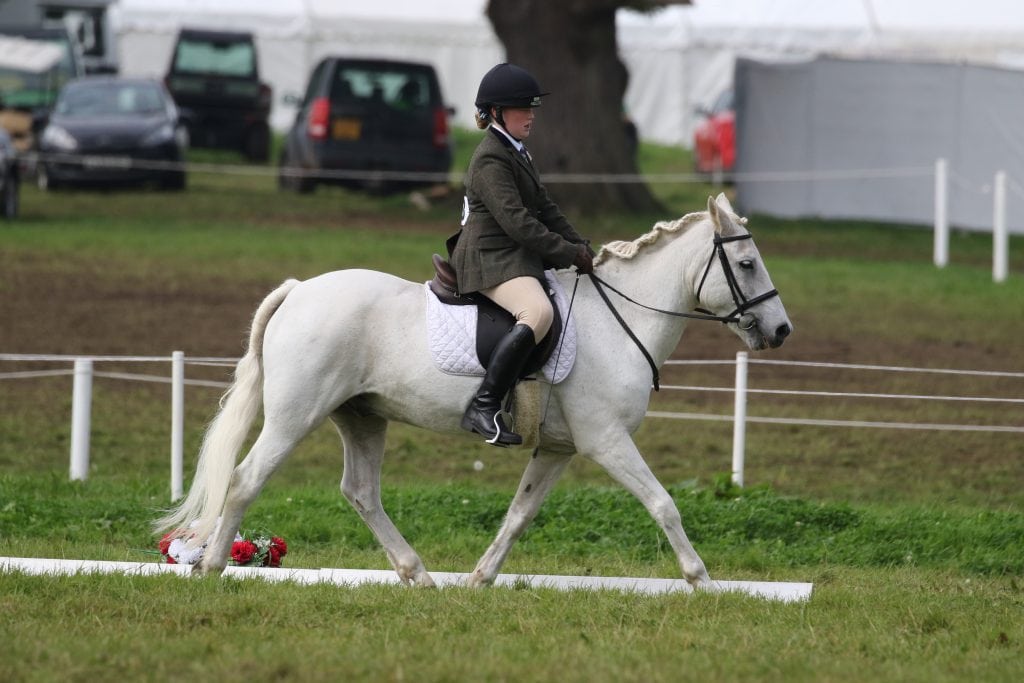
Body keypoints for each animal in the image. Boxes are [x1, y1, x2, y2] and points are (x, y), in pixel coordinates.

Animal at [155, 193, 790, 589]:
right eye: (747, 263)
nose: (781, 330)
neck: (619, 319)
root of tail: (298, 289)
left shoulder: (558, 449)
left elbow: (519, 514)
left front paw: (481, 578)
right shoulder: (606, 440)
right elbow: (663, 503)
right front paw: (702, 580)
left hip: (362, 416)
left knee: (361, 492)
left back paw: (418, 574)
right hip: (296, 414)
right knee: (245, 480)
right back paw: (213, 569)